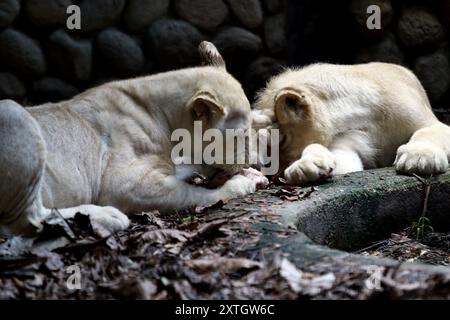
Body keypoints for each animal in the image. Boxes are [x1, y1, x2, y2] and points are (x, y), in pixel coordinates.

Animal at [0, 42, 268, 236]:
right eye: (242, 134)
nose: (256, 161)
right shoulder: (124, 185)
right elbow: (197, 194)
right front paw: (243, 183)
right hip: (14, 114)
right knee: (27, 220)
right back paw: (108, 217)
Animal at [253, 62, 450, 185]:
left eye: (281, 141)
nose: (274, 177)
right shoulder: (348, 142)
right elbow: (337, 158)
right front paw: (307, 167)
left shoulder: (434, 123)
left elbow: (427, 132)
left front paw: (418, 159)